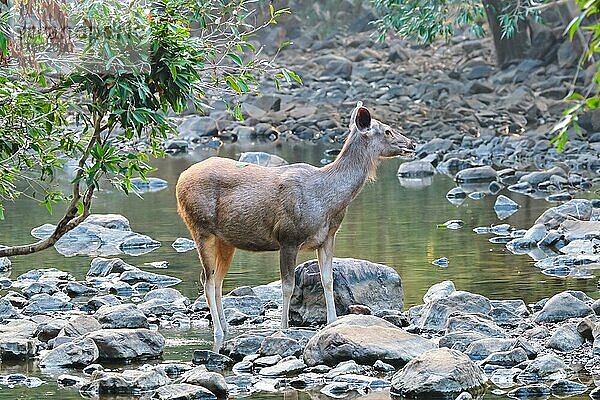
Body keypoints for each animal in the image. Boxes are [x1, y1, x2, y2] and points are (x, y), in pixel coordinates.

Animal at [176, 102, 414, 346]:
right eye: (387, 131)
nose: (412, 144)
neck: (327, 200)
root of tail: (180, 180)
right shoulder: (288, 237)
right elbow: (287, 286)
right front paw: (284, 327)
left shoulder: (327, 237)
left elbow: (328, 280)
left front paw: (332, 322)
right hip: (200, 228)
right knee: (207, 280)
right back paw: (218, 332)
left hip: (226, 240)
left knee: (217, 281)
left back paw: (225, 327)